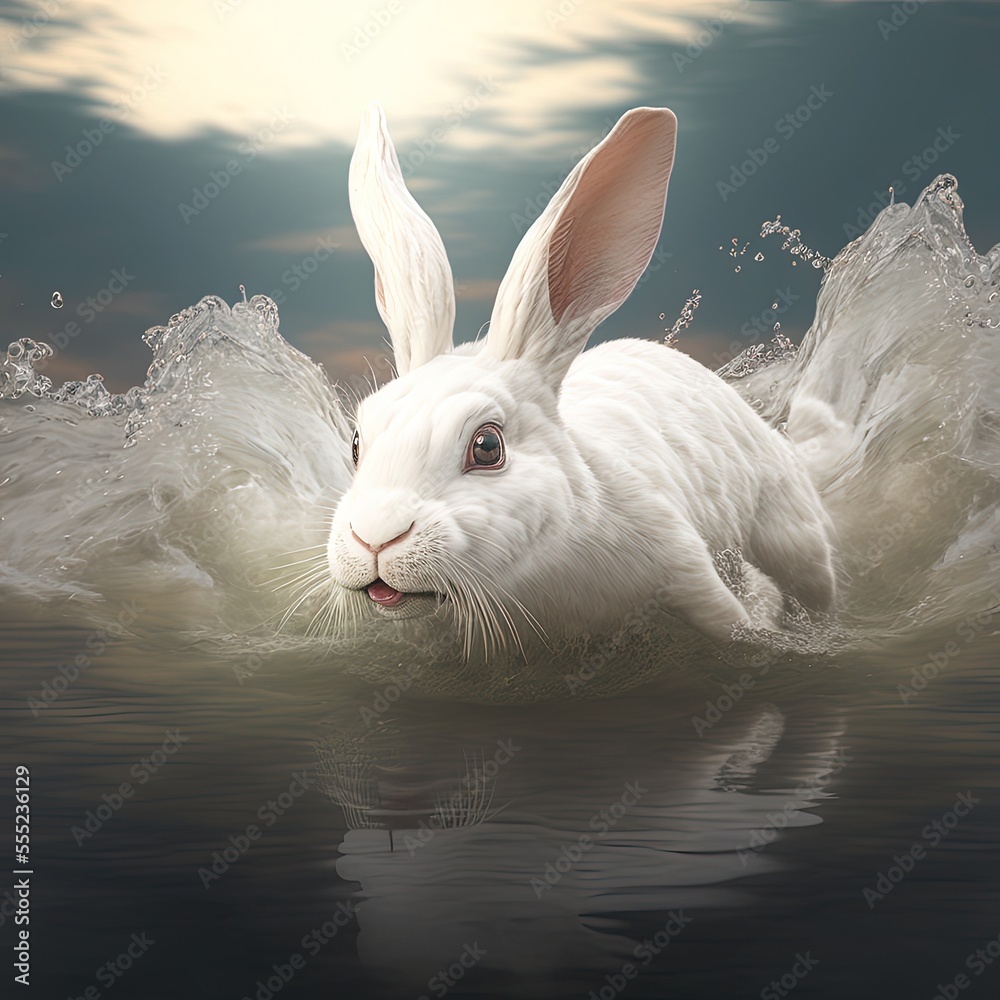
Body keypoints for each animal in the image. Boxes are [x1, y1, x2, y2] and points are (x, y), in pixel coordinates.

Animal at [325, 102, 836, 654]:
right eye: (356, 443)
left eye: (487, 447)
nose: (375, 537)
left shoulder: (680, 561)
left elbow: (729, 620)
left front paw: (764, 637)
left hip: (791, 530)